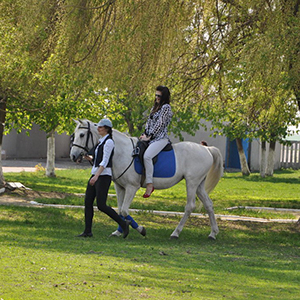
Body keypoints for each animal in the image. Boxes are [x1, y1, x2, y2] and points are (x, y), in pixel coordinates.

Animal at [69, 119, 223, 239]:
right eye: (74, 135)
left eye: (81, 135)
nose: (73, 156)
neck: (121, 151)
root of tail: (207, 149)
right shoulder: (120, 187)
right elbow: (119, 210)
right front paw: (119, 231)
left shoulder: (132, 187)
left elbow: (124, 210)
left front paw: (139, 229)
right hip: (199, 185)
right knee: (209, 204)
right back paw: (213, 233)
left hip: (191, 182)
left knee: (190, 206)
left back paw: (175, 233)